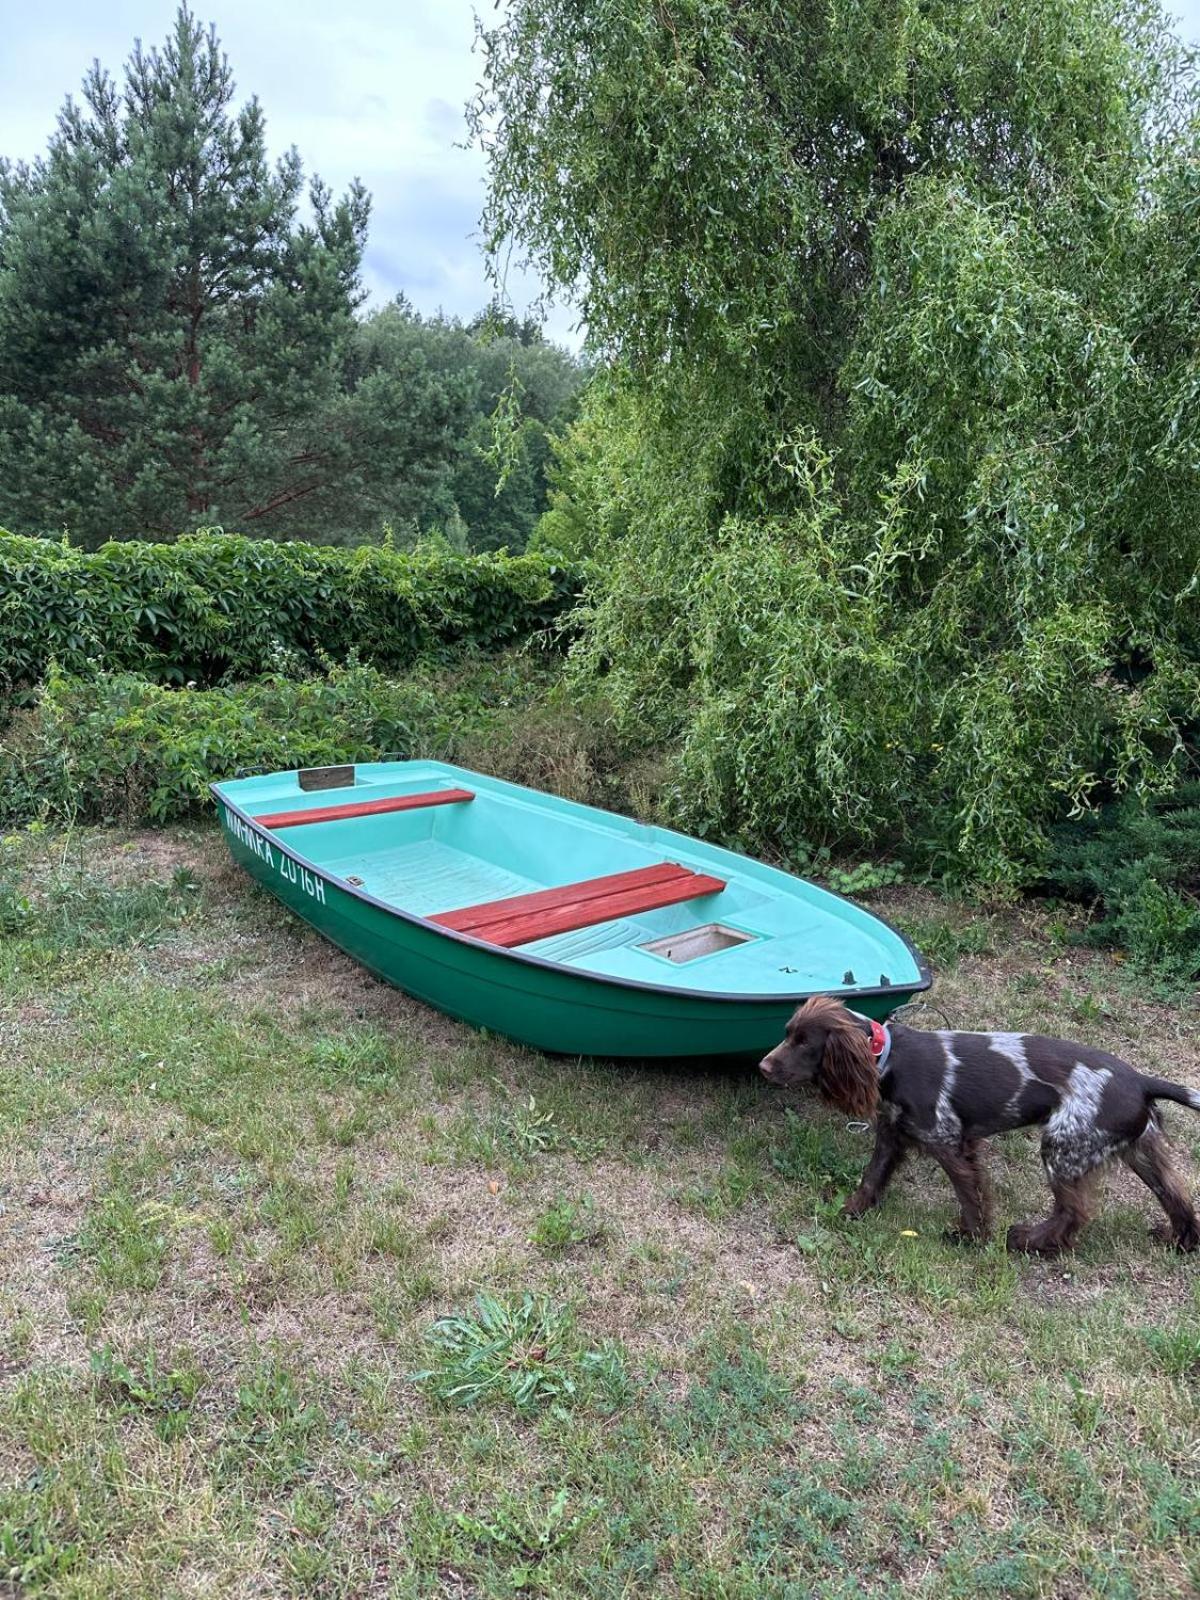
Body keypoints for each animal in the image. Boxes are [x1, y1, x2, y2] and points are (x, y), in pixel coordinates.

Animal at [764, 998, 1196, 1248]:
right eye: (787, 1034)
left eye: (804, 1042)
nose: (764, 1066)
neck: (888, 1058)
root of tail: (1140, 1080)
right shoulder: (892, 1134)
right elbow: (871, 1178)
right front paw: (851, 1211)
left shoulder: (949, 1142)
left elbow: (969, 1194)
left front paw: (970, 1236)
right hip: (1138, 1149)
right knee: (1177, 1194)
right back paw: (1180, 1240)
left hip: (1064, 1146)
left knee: (1073, 1212)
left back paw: (1031, 1242)